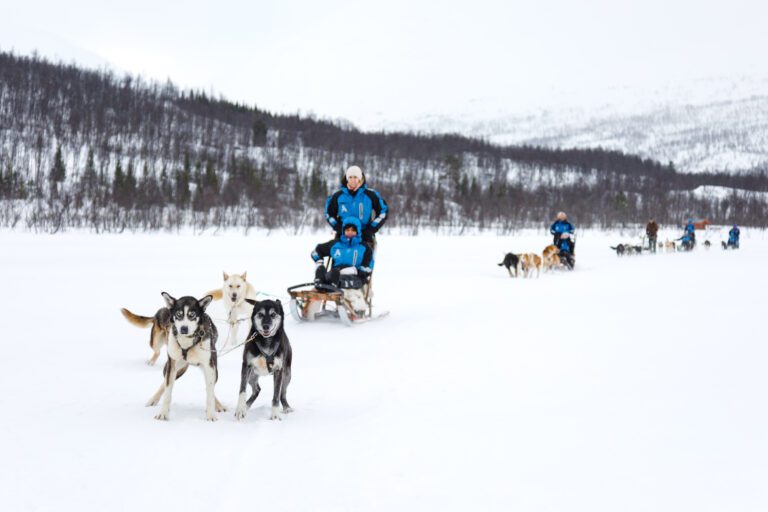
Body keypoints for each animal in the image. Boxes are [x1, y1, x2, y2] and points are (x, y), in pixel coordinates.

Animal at [146, 292, 226, 420]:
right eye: (178, 314)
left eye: (192, 315)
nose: (184, 328)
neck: (187, 342)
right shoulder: (172, 364)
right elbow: (167, 390)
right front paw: (163, 413)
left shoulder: (209, 367)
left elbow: (210, 392)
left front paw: (210, 415)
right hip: (175, 367)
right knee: (164, 383)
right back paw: (153, 399)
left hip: (212, 369)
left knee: (211, 387)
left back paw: (218, 405)